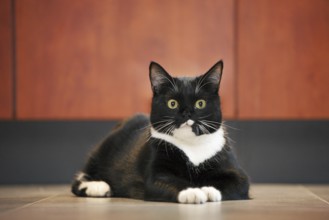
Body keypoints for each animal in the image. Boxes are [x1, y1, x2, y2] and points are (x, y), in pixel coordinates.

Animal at [72, 60, 249, 205]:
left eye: (200, 103)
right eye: (172, 103)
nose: (186, 113)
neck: (191, 146)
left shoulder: (235, 171)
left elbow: (237, 182)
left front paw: (208, 189)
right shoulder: (156, 169)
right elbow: (166, 181)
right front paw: (192, 191)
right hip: (104, 148)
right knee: (79, 178)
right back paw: (97, 186)